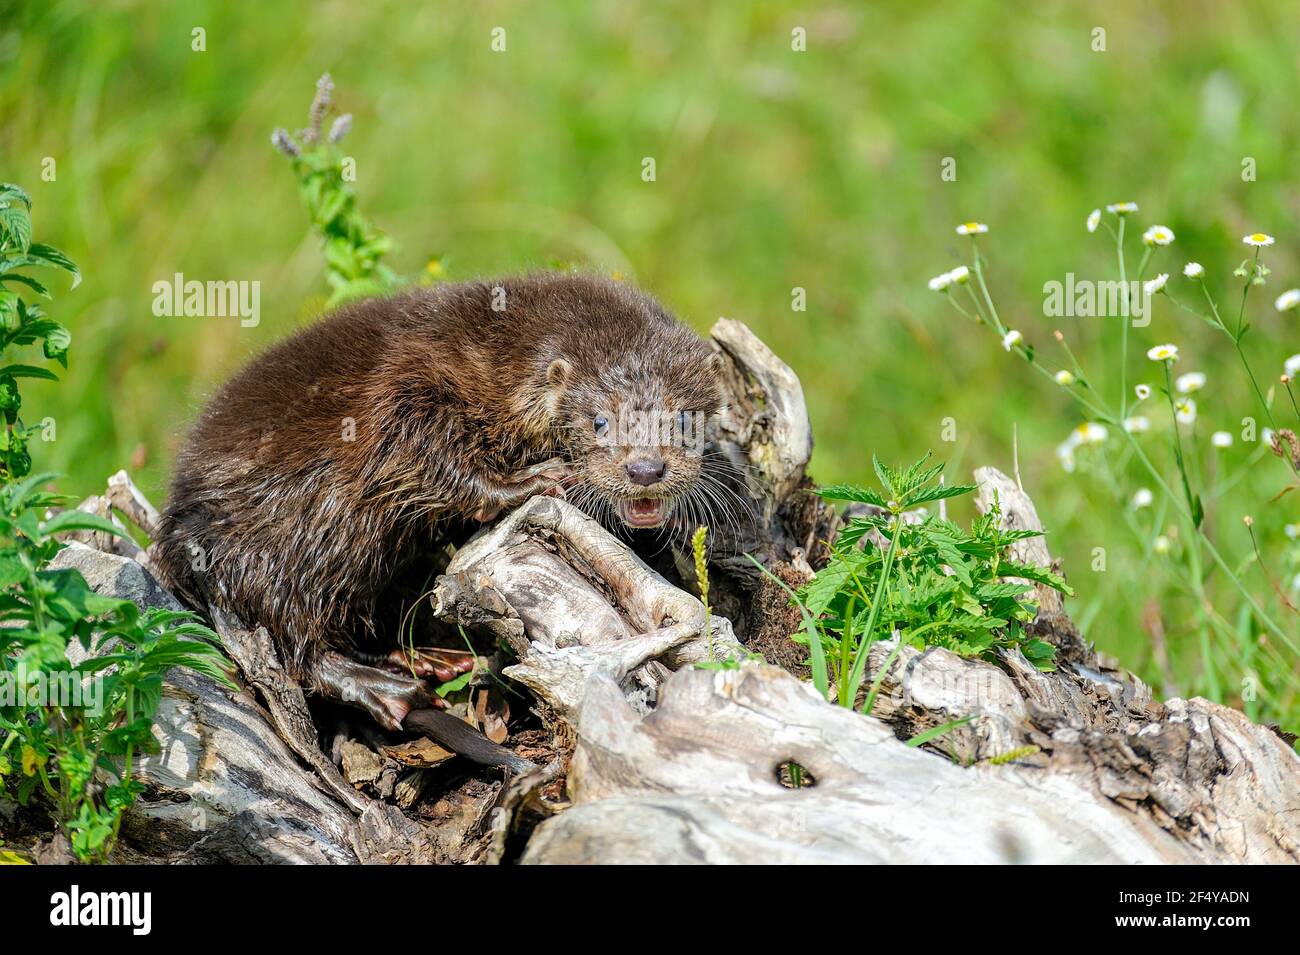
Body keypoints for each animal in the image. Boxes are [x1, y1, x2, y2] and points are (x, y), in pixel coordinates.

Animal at [154, 273, 725, 739]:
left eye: (684, 419)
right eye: (599, 421)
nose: (645, 470)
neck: (493, 355)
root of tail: (179, 526)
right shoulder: (409, 383)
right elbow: (418, 452)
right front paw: (532, 481)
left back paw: (421, 658)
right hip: (282, 542)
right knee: (293, 636)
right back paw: (385, 687)